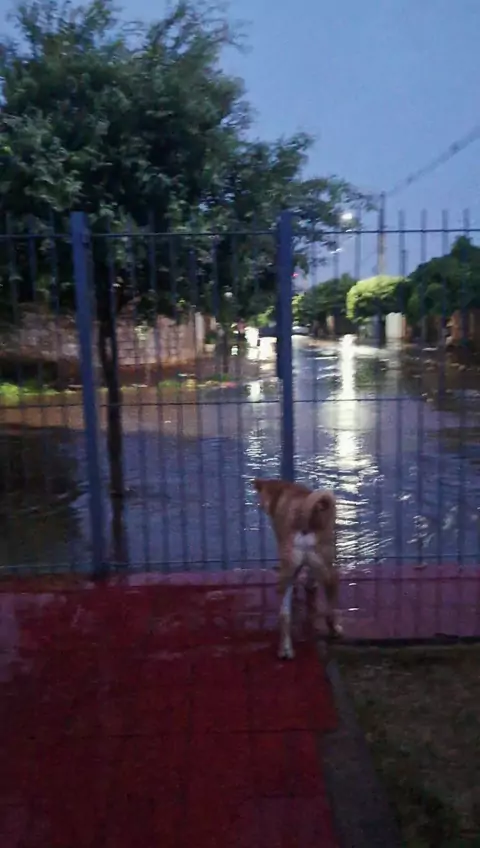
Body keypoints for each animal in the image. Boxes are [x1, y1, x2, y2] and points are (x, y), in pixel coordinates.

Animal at [253, 478, 343, 659]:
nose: (261, 506)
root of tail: (304, 516)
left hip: (286, 576)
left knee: (284, 614)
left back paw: (285, 650)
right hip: (328, 571)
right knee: (330, 606)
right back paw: (334, 629)